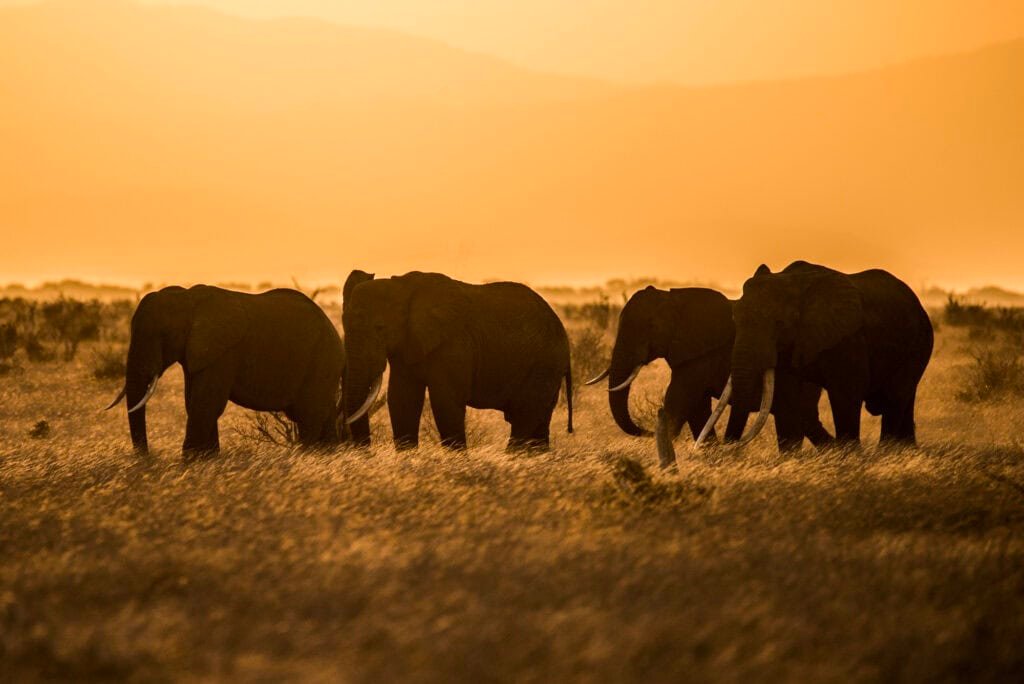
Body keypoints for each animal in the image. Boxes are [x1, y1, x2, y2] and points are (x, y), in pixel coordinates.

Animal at [105, 285, 345, 457]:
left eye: (163, 335)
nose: (147, 459)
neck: (188, 299)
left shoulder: (223, 352)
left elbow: (205, 405)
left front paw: (189, 465)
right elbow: (194, 403)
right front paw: (207, 461)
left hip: (322, 359)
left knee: (309, 415)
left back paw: (305, 457)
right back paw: (328, 457)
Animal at [342, 271, 573, 451]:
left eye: (380, 328)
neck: (402, 287)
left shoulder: (454, 343)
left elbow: (445, 401)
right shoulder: (406, 344)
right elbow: (402, 399)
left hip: (544, 364)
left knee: (525, 415)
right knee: (538, 421)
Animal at [586, 286, 832, 466]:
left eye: (651, 326)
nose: (645, 431)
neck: (673, 299)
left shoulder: (700, 356)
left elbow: (680, 401)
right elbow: (697, 409)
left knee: (793, 418)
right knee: (806, 419)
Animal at [706, 261, 933, 447]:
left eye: (779, 323)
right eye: (735, 320)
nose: (727, 445)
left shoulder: (848, 338)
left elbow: (846, 394)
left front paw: (850, 458)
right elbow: (788, 398)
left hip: (918, 345)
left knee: (894, 399)